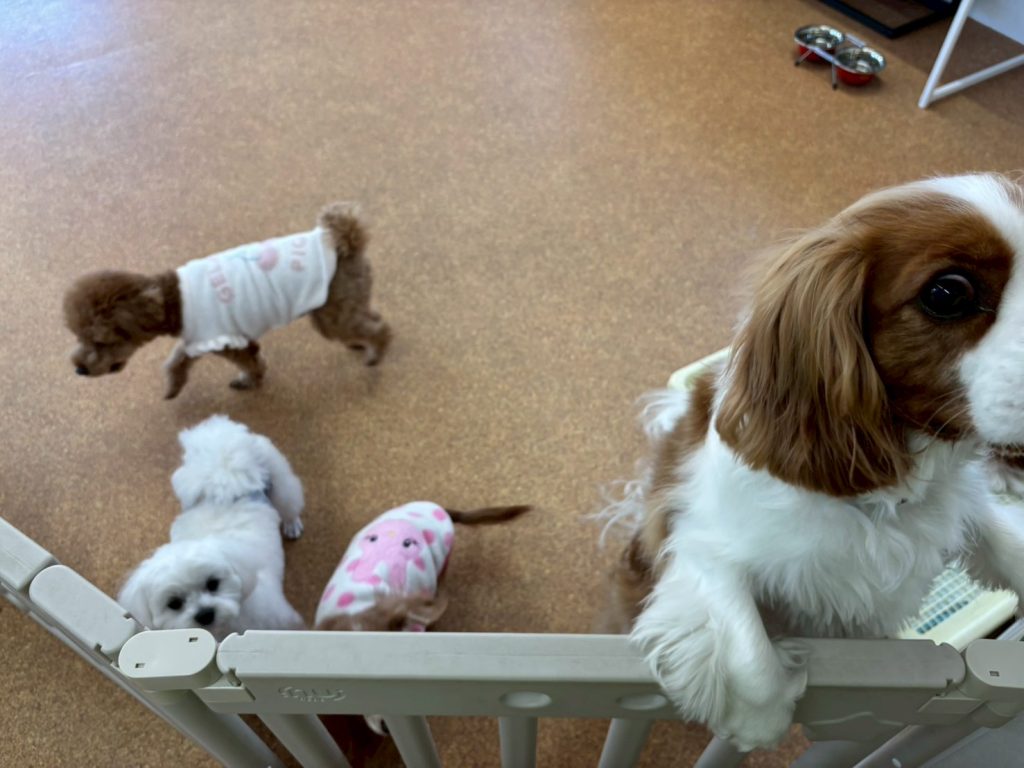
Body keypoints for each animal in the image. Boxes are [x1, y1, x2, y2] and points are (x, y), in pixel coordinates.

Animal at [63, 202, 391, 399]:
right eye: (78, 337)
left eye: (100, 342)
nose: (79, 369)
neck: (175, 300)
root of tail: (347, 240)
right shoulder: (199, 338)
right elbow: (178, 360)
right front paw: (173, 387)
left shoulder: (225, 340)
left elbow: (250, 361)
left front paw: (250, 382)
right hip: (343, 305)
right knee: (370, 317)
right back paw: (361, 345)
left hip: (331, 315)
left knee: (380, 328)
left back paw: (376, 354)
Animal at [118, 415, 306, 640]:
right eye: (174, 604)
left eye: (213, 583)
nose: (205, 614)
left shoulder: (281, 620)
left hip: (279, 479)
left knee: (289, 503)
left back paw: (292, 525)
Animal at [602, 173, 1024, 752]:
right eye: (948, 293)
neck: (880, 500)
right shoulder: (698, 543)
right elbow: (748, 647)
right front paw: (758, 723)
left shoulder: (963, 505)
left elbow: (1010, 544)